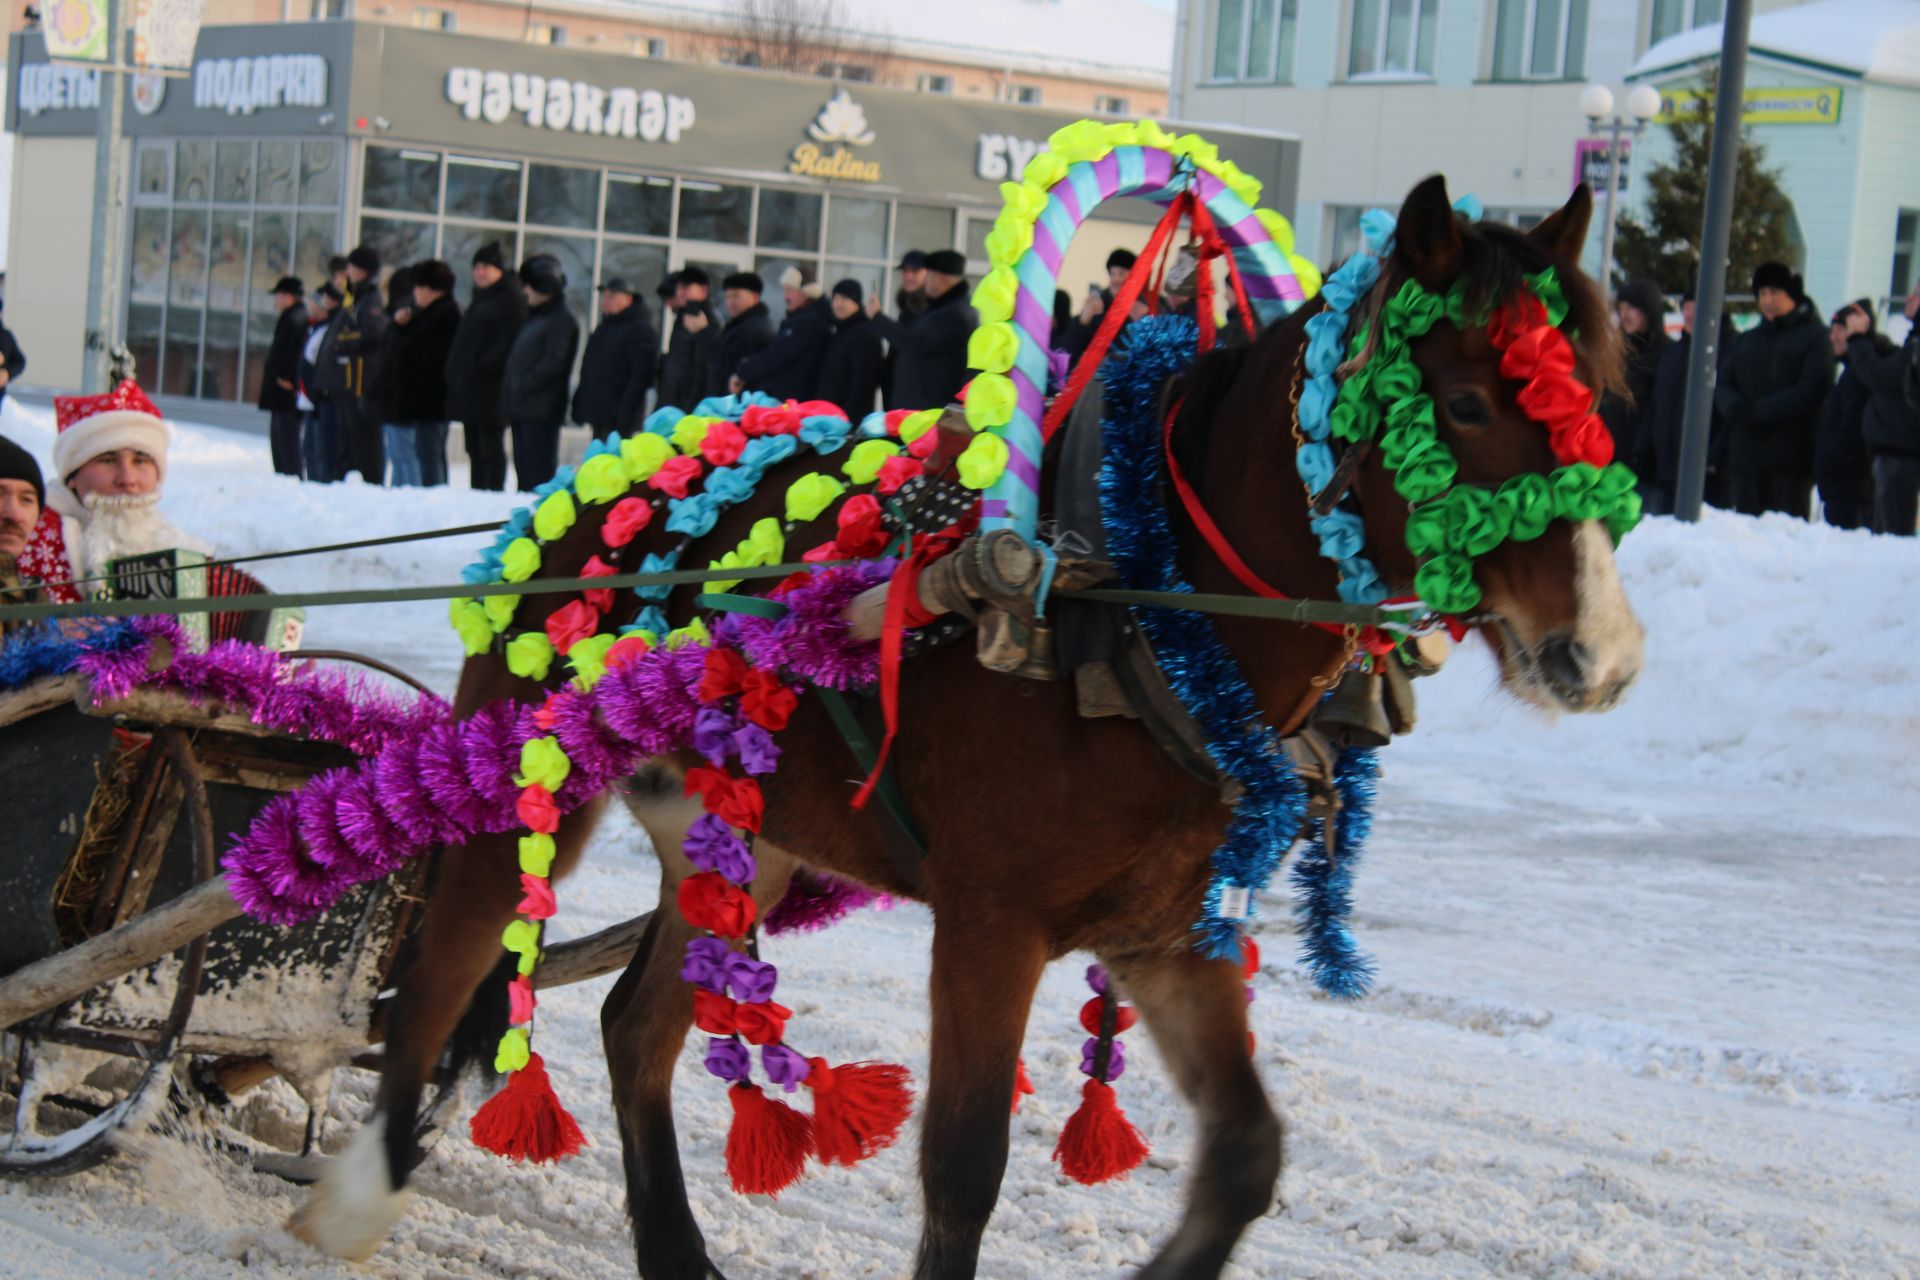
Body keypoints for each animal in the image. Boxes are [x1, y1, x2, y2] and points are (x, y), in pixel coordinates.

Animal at [291, 172, 1643, 1280]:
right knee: (452, 953)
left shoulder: (1168, 929)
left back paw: (672, 1249)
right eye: (1462, 403)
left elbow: (1246, 1153)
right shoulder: (992, 920)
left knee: (639, 1029)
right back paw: (361, 1190)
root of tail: (607, 468)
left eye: (1606, 399)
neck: (1139, 610)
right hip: (535, 767)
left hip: (746, 833)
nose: (1603, 654)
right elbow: (963, 1167)